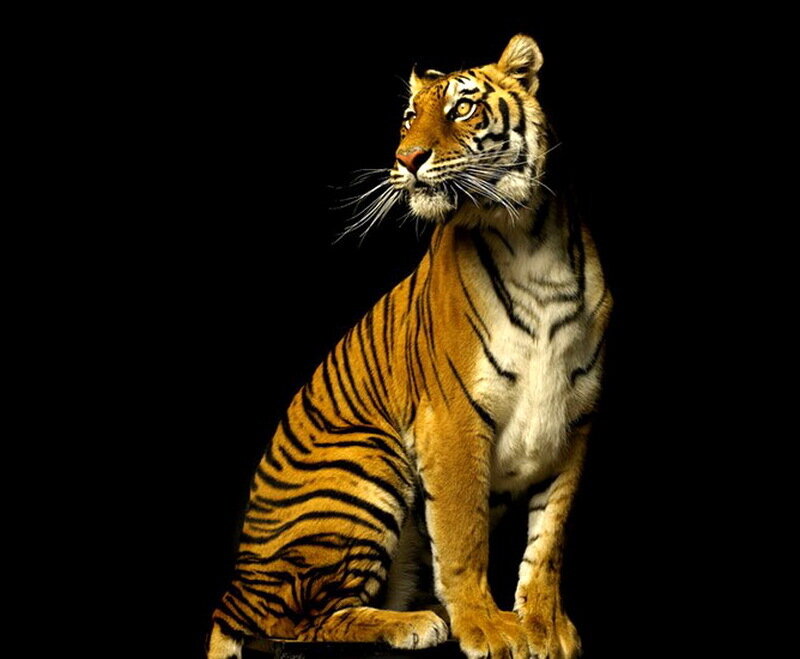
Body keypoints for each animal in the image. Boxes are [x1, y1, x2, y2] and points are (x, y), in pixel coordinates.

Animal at [207, 33, 611, 659]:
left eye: (462, 108)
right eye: (407, 118)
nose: (406, 158)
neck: (529, 239)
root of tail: (239, 585)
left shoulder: (574, 422)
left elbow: (549, 540)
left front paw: (544, 626)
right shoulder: (452, 418)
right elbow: (465, 536)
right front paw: (488, 628)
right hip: (368, 459)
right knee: (292, 622)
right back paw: (412, 623)